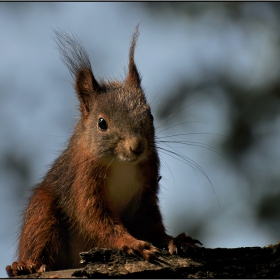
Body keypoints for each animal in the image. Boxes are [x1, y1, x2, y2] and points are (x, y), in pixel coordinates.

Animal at [5, 24, 202, 278]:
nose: (137, 147)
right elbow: (95, 218)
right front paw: (131, 243)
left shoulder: (146, 187)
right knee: (40, 239)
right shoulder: (83, 180)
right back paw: (25, 265)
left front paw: (174, 240)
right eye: (102, 123)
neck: (121, 163)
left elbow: (150, 222)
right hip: (42, 210)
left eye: (150, 116)